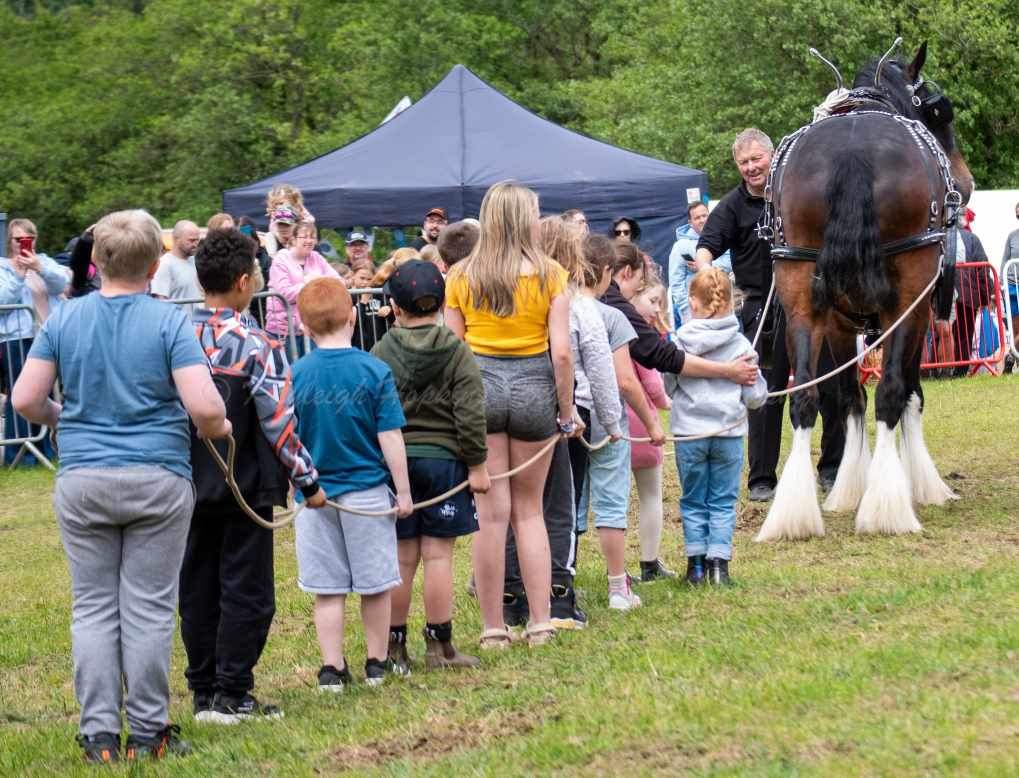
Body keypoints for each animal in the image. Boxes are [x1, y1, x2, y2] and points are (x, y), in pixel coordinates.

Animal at [758, 41, 970, 542]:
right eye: (940, 112)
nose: (966, 185)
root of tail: (853, 154)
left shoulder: (840, 322)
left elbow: (850, 396)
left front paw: (850, 486)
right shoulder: (920, 313)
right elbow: (910, 391)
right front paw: (918, 483)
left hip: (801, 292)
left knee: (805, 399)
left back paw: (794, 513)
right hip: (907, 296)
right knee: (891, 391)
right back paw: (887, 509)